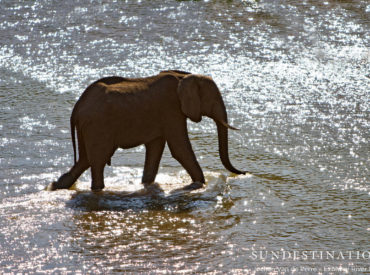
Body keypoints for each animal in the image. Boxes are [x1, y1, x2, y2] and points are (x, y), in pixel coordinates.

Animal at [50, 69, 244, 192]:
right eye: (213, 100)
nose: (244, 172)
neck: (184, 76)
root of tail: (77, 108)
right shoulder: (171, 110)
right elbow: (179, 149)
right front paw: (200, 184)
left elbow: (155, 147)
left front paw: (146, 184)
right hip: (97, 126)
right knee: (97, 161)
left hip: (88, 128)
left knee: (84, 160)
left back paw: (56, 186)